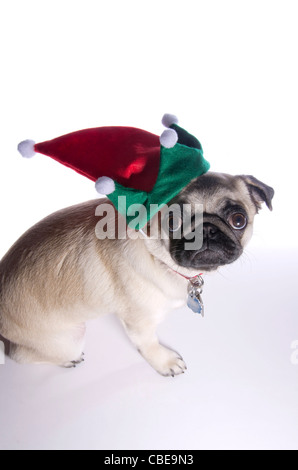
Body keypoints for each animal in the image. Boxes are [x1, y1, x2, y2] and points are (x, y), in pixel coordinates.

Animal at [0, 172, 274, 374]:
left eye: (238, 220)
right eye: (172, 222)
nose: (206, 230)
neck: (158, 255)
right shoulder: (139, 322)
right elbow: (148, 344)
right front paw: (165, 362)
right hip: (69, 340)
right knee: (20, 354)